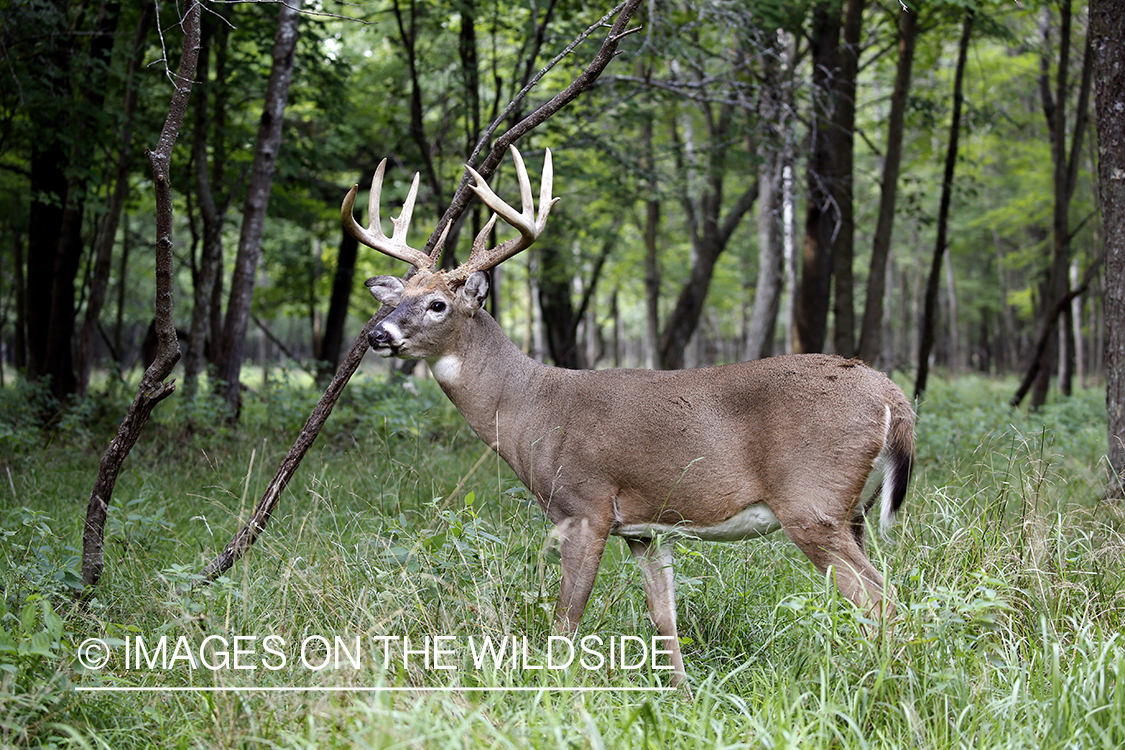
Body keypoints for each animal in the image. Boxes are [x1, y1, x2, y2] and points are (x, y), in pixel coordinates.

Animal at [339, 145, 913, 688]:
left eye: (437, 304)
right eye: (398, 299)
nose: (378, 334)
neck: (532, 407)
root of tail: (894, 399)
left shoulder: (584, 507)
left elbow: (565, 622)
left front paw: (553, 690)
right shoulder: (645, 531)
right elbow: (665, 622)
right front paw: (683, 697)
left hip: (813, 503)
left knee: (884, 601)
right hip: (854, 513)